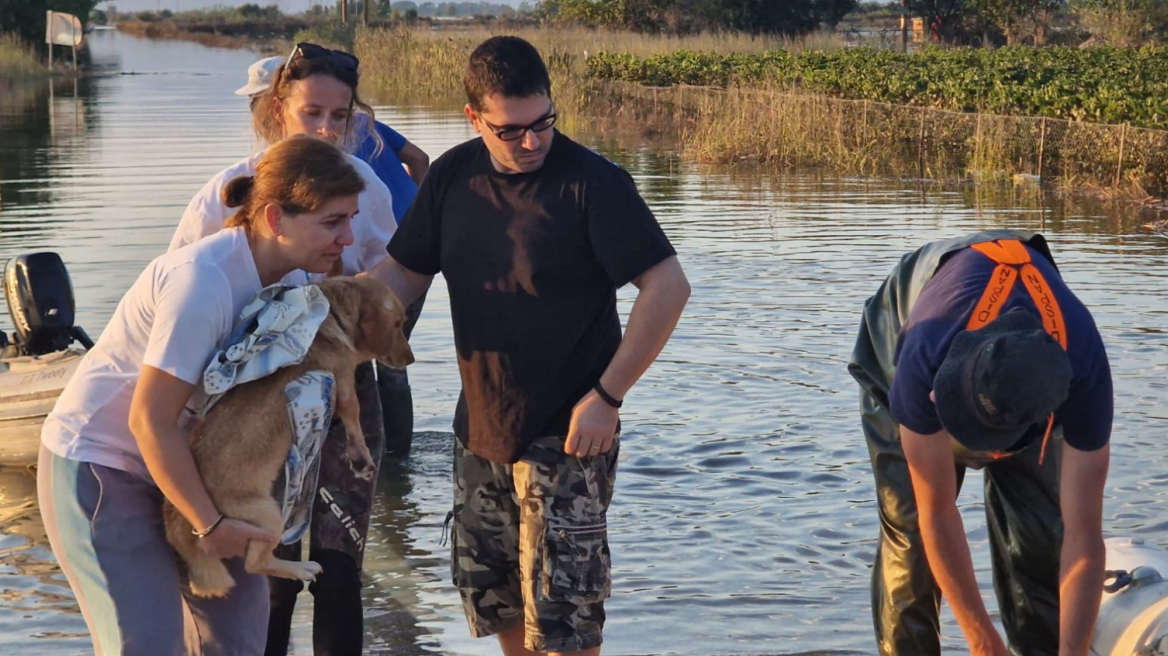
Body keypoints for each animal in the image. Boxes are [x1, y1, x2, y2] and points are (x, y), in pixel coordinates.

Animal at [167, 273, 413, 595]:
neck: (329, 316)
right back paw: (301, 568)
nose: (411, 359)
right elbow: (355, 423)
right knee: (256, 563)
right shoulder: (344, 387)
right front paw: (361, 459)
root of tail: (178, 524)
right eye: (398, 323)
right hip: (270, 516)